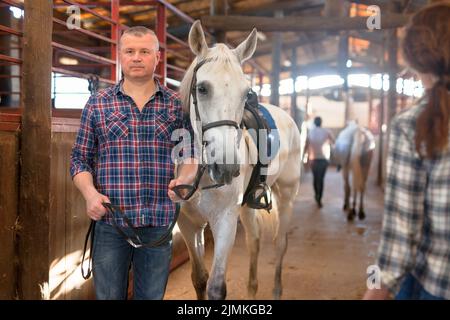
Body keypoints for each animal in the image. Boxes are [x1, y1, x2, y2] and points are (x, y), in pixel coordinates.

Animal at [177, 20, 302, 300]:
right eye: (202, 88)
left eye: (246, 93)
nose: (226, 167)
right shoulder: (188, 224)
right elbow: (199, 279)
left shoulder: (224, 220)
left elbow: (215, 287)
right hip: (247, 205)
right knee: (254, 240)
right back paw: (252, 290)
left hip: (286, 196)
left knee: (280, 243)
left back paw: (276, 289)